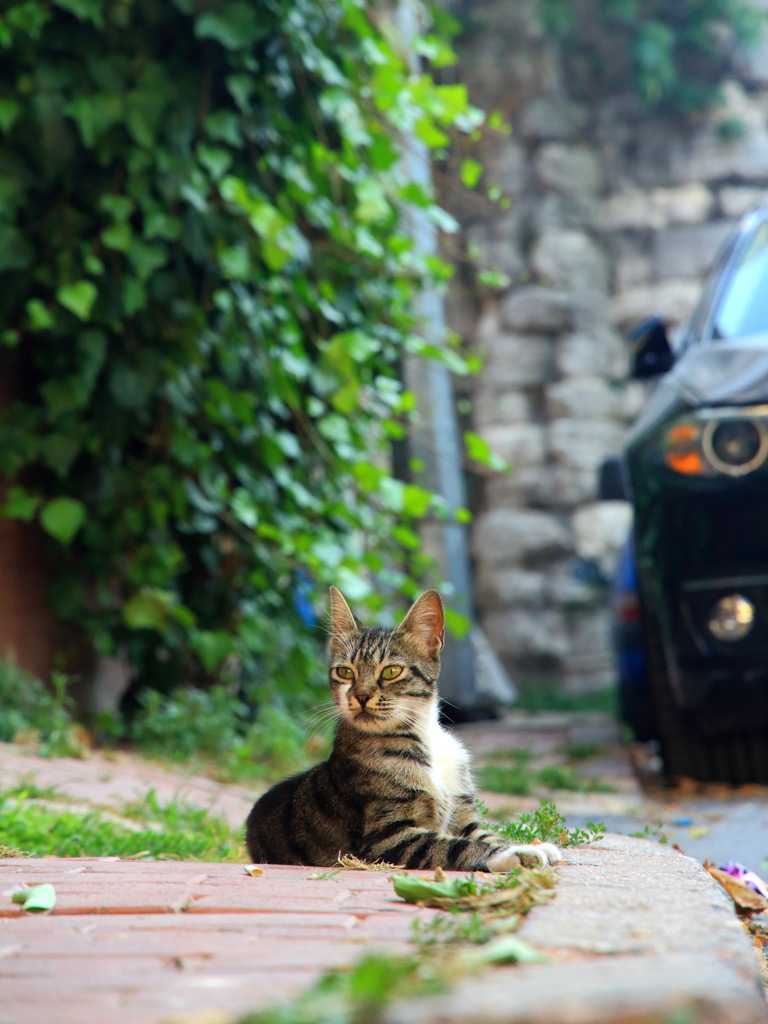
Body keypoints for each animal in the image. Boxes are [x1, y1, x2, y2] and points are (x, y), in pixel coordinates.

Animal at [246, 589, 561, 868]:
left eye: (391, 671)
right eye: (345, 672)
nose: (360, 696)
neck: (425, 735)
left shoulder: (464, 814)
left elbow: (487, 835)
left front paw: (528, 846)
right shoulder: (387, 837)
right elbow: (454, 846)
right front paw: (511, 854)